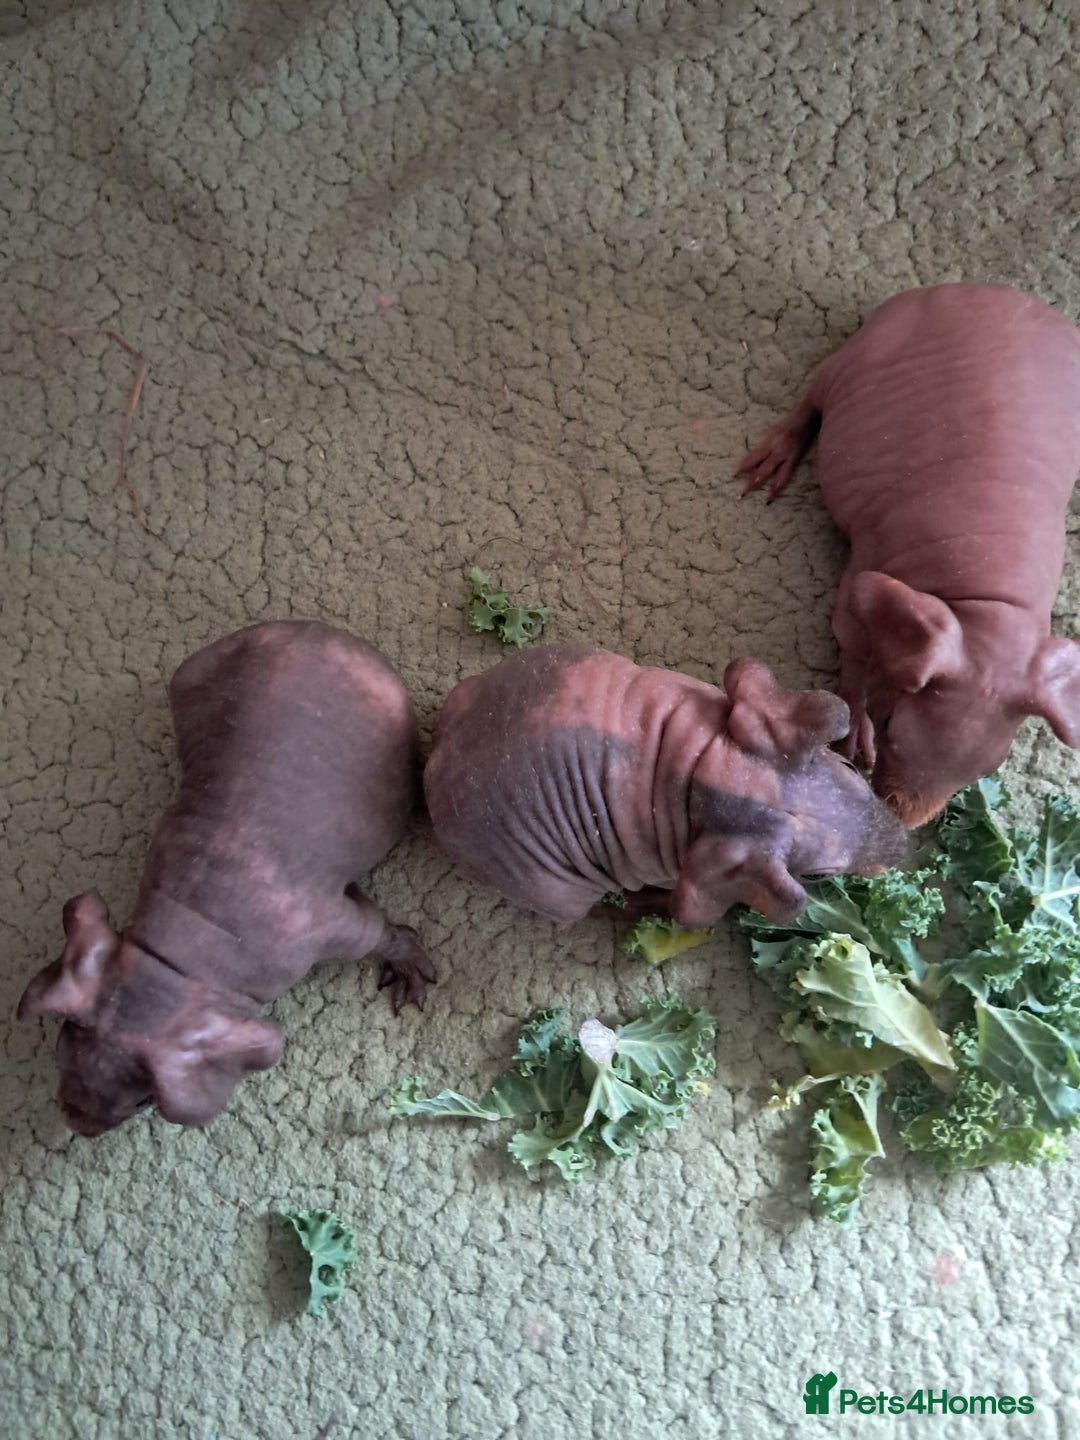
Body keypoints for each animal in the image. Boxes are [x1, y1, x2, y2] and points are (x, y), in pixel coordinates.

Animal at [18, 620, 435, 1137]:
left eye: (141, 1102)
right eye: (62, 1046)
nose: (75, 1124)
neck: (182, 955)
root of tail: (308, 625)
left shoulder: (324, 927)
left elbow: (372, 931)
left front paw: (409, 962)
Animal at [423, 644, 906, 928]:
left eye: (848, 767)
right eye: (819, 876)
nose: (903, 848)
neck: (698, 776)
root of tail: (438, 758)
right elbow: (690, 912)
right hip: (553, 889)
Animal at [737, 283, 1080, 827]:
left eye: (991, 765)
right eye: (893, 723)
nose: (903, 826)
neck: (986, 602)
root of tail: (979, 288)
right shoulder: (869, 562)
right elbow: (852, 645)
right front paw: (854, 733)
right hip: (860, 353)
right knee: (813, 397)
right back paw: (776, 454)